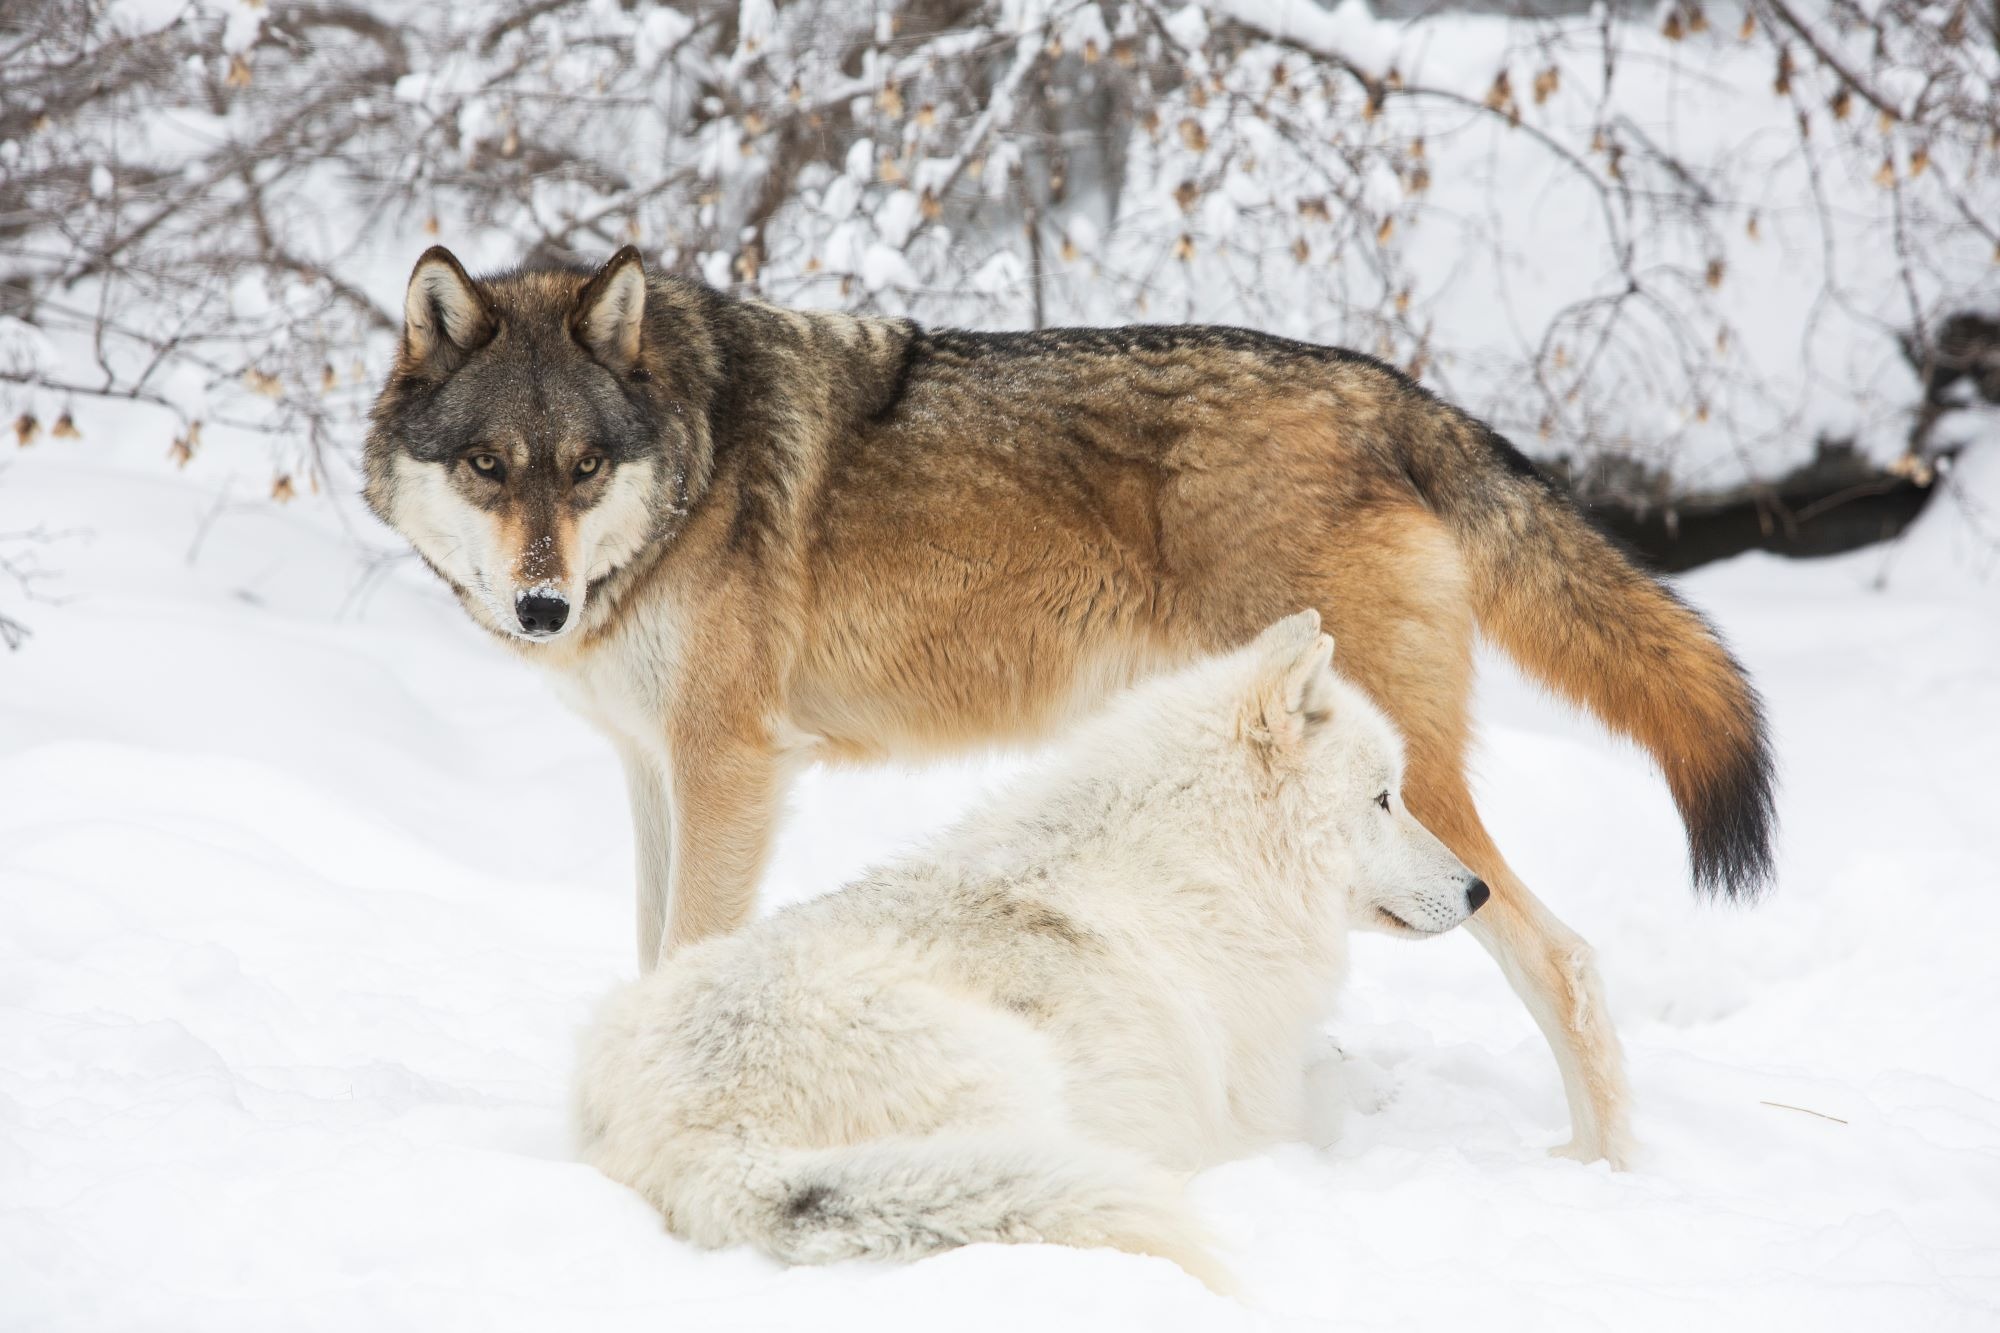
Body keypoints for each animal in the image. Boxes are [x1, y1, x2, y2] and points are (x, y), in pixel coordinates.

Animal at [364, 245, 1775, 1168]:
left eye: (582, 468)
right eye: (488, 467)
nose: (540, 606)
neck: (691, 460)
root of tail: (1396, 391)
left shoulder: (730, 765)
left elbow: (684, 950)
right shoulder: (652, 770)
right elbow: (648, 947)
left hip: (1424, 798)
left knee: (1562, 956)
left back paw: (1600, 1175)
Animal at [574, 613, 1485, 1287]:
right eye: (1385, 798)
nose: (1478, 889)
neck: (1212, 861)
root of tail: (705, 1141)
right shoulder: (1264, 1105)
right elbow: (1325, 1096)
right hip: (1015, 1078)